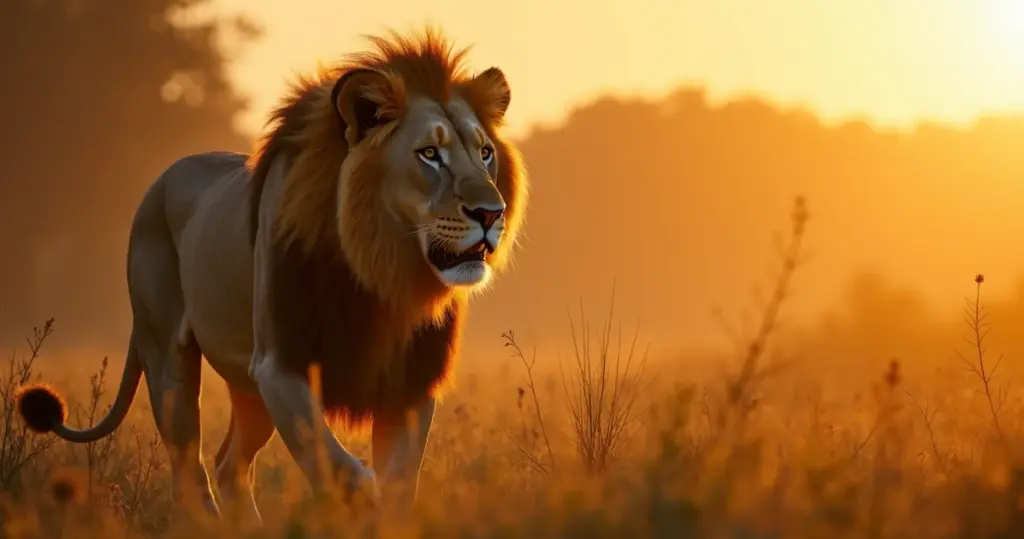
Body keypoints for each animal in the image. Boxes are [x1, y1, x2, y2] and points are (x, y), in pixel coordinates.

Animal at [15, 26, 528, 521]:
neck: (381, 274)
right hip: (170, 362)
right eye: (429, 154)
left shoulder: (412, 382)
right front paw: (358, 505)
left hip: (248, 389)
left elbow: (399, 485)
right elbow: (338, 466)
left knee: (229, 464)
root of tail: (159, 182)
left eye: (485, 153)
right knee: (190, 474)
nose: (491, 212)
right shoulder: (280, 365)